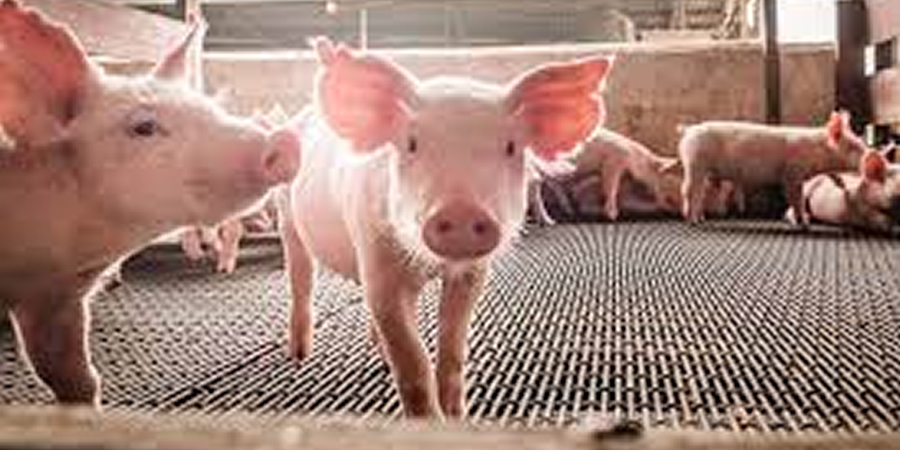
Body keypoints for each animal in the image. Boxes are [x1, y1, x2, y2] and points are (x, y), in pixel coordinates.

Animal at [277, 37, 613, 418]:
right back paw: (299, 354)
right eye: (411, 143)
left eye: (511, 147)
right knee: (300, 279)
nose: (462, 210)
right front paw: (430, 420)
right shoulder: (377, 256)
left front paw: (456, 414)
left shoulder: (473, 274)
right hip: (286, 215)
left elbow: (453, 347)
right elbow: (412, 359)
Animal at [679, 112, 868, 224]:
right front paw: (804, 222)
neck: (816, 152)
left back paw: (701, 218)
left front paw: (841, 184)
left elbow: (831, 175)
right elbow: (795, 197)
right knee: (688, 190)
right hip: (695, 163)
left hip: (704, 170)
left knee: (701, 193)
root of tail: (689, 130)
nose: (871, 155)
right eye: (854, 147)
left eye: (861, 142)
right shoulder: (792, 173)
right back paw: (693, 220)